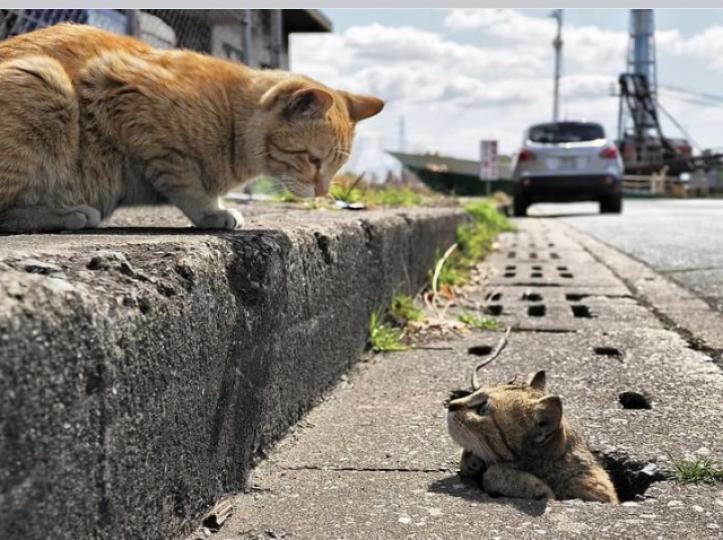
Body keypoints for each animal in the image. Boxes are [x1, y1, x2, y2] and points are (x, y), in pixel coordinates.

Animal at [0, 23, 384, 232]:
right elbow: (187, 183)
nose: (322, 192)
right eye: (314, 160)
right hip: (45, 80)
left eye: (336, 167)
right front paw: (212, 212)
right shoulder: (128, 99)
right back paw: (70, 213)